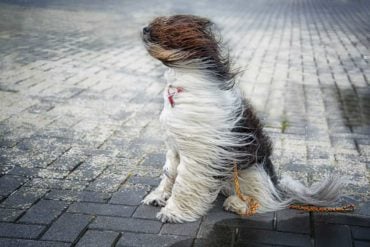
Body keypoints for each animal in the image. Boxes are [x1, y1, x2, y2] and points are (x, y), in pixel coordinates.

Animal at [141, 14, 344, 223]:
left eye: (165, 25)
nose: (144, 28)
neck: (182, 84)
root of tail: (276, 185)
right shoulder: (174, 147)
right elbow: (169, 173)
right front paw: (159, 196)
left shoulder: (198, 153)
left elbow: (183, 181)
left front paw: (173, 212)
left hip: (251, 171)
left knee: (264, 199)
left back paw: (238, 203)